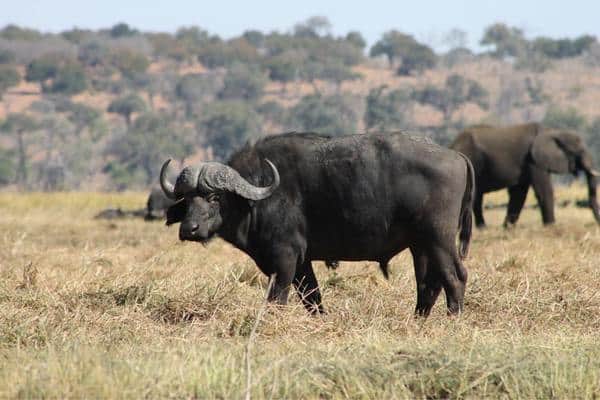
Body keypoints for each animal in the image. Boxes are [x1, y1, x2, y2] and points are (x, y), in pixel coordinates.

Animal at [158, 133, 474, 318]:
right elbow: (313, 298)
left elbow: (277, 299)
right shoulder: (303, 263)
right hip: (420, 245)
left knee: (455, 276)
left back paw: (453, 319)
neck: (259, 195)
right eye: (187, 198)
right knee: (428, 283)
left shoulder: (284, 258)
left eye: (214, 197)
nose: (189, 229)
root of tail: (455, 156)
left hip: (439, 239)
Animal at [452, 122, 596, 228]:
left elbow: (519, 193)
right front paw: (551, 227)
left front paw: (508, 228)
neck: (553, 131)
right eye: (579, 151)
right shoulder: (534, 161)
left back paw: (482, 228)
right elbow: (544, 190)